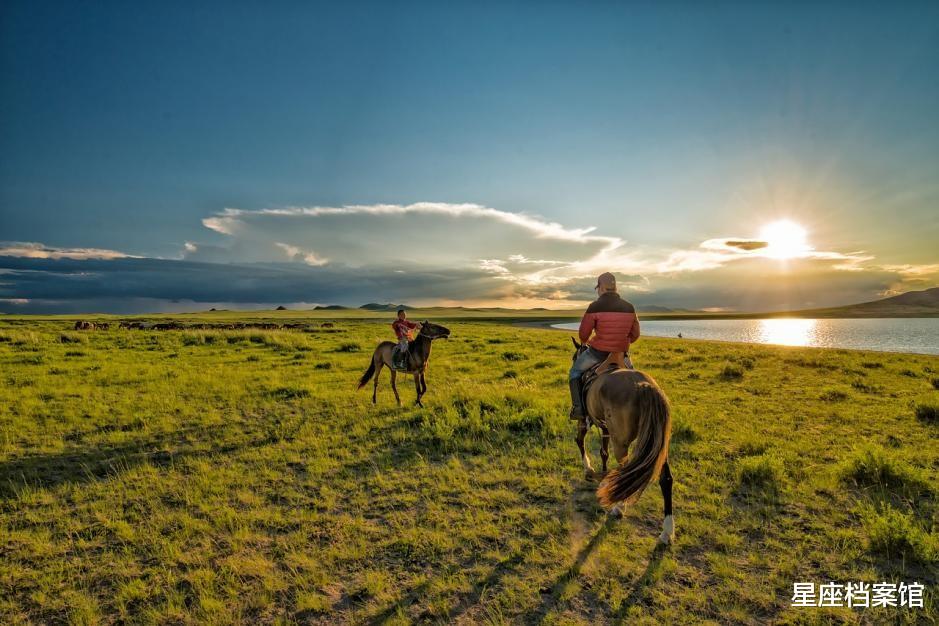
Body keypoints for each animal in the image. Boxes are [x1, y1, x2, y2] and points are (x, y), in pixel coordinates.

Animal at [568, 336, 672, 540]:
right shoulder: (605, 427)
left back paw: (618, 508)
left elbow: (580, 441)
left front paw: (589, 470)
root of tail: (645, 387)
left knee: (628, 472)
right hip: (658, 443)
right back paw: (667, 531)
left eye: (575, 356)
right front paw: (604, 476)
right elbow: (603, 452)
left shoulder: (585, 419)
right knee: (665, 478)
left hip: (622, 444)